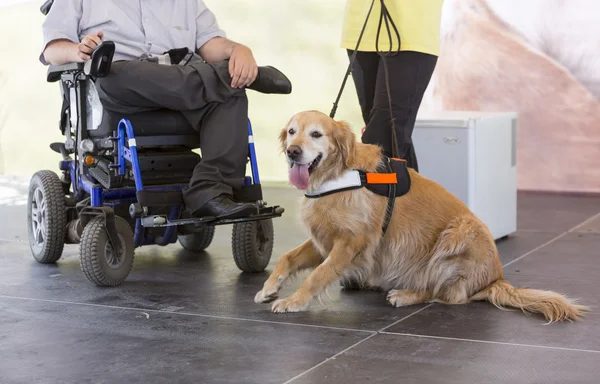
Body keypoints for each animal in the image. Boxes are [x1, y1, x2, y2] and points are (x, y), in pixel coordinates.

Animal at [255, 109, 588, 322]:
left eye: (316, 134)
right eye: (292, 132)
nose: (293, 151)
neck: (339, 173)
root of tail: (497, 277)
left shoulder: (351, 242)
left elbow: (318, 275)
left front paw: (294, 301)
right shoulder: (323, 237)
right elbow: (288, 258)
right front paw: (269, 288)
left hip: (458, 233)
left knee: (448, 295)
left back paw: (405, 295)